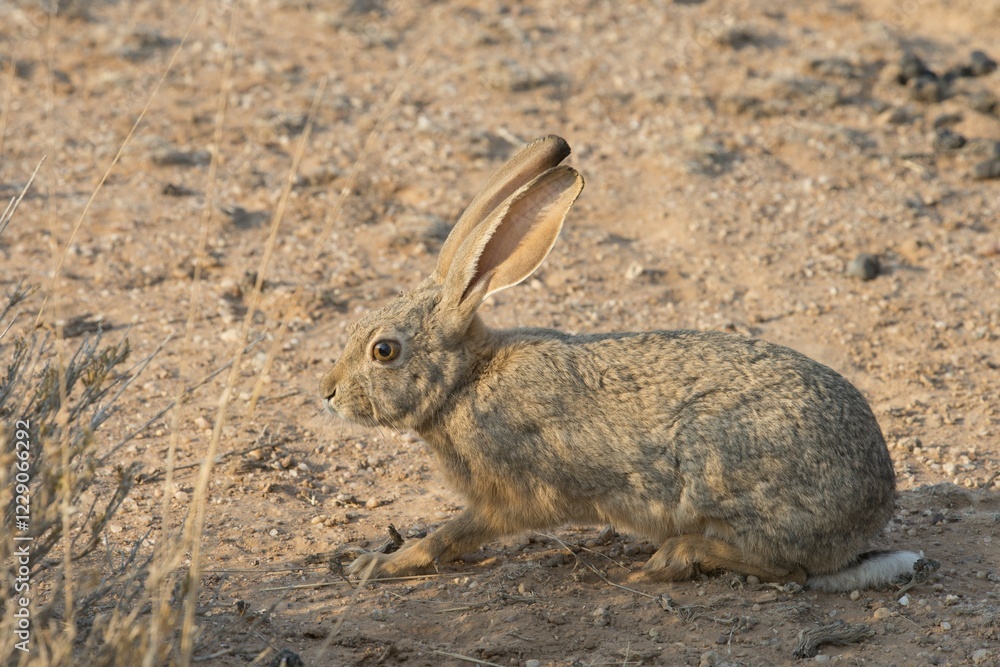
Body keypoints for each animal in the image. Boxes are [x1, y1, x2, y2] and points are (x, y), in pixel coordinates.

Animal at [320, 134, 931, 592]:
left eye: (384, 350)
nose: (327, 391)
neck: (464, 383)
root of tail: (871, 510)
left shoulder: (507, 496)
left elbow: (449, 535)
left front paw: (378, 564)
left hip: (723, 471)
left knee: (790, 567)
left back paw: (674, 557)